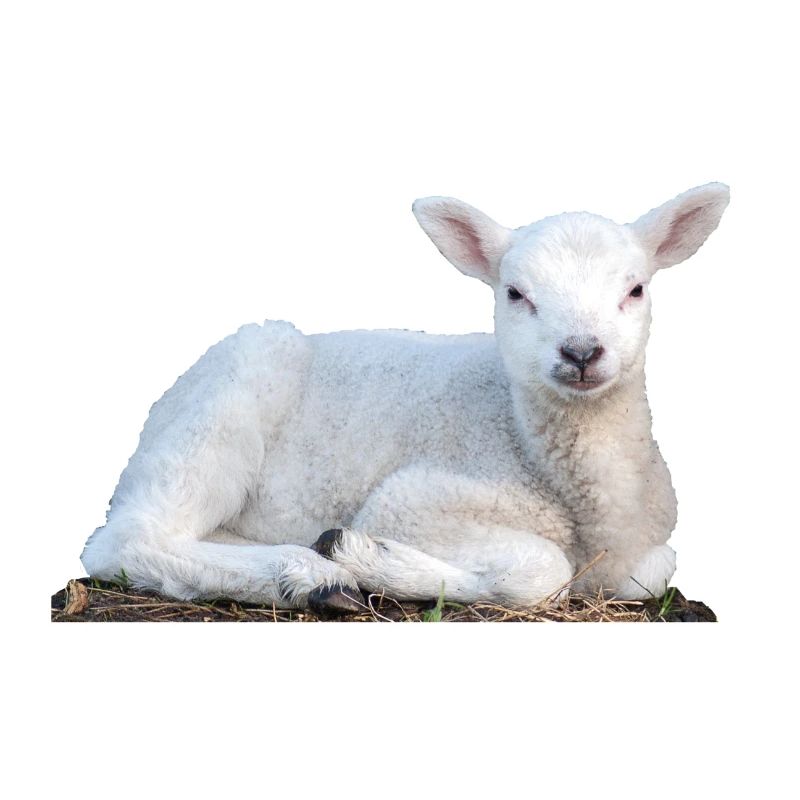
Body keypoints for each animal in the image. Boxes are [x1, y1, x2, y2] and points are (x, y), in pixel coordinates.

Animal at [80, 183, 729, 614]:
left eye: (636, 289)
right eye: (515, 294)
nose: (581, 351)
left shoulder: (646, 550)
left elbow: (654, 572)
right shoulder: (416, 500)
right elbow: (545, 570)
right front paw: (367, 558)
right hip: (228, 397)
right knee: (126, 538)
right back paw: (309, 576)